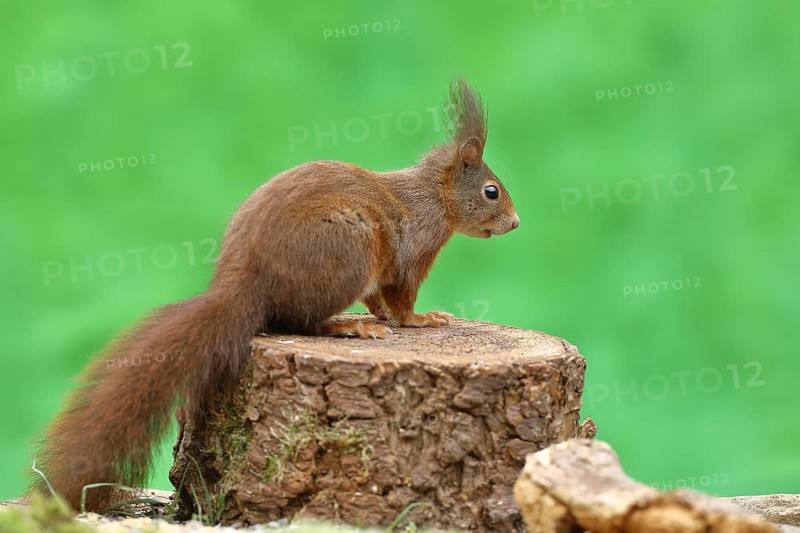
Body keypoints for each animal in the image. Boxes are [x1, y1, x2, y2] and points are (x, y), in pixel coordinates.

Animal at [30, 78, 519, 511]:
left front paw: (388, 316)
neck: (434, 195)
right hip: (349, 251)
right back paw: (347, 327)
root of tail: (244, 285)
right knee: (297, 322)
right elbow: (400, 298)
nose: (515, 224)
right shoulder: (411, 252)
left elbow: (379, 300)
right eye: (491, 191)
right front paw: (421, 320)